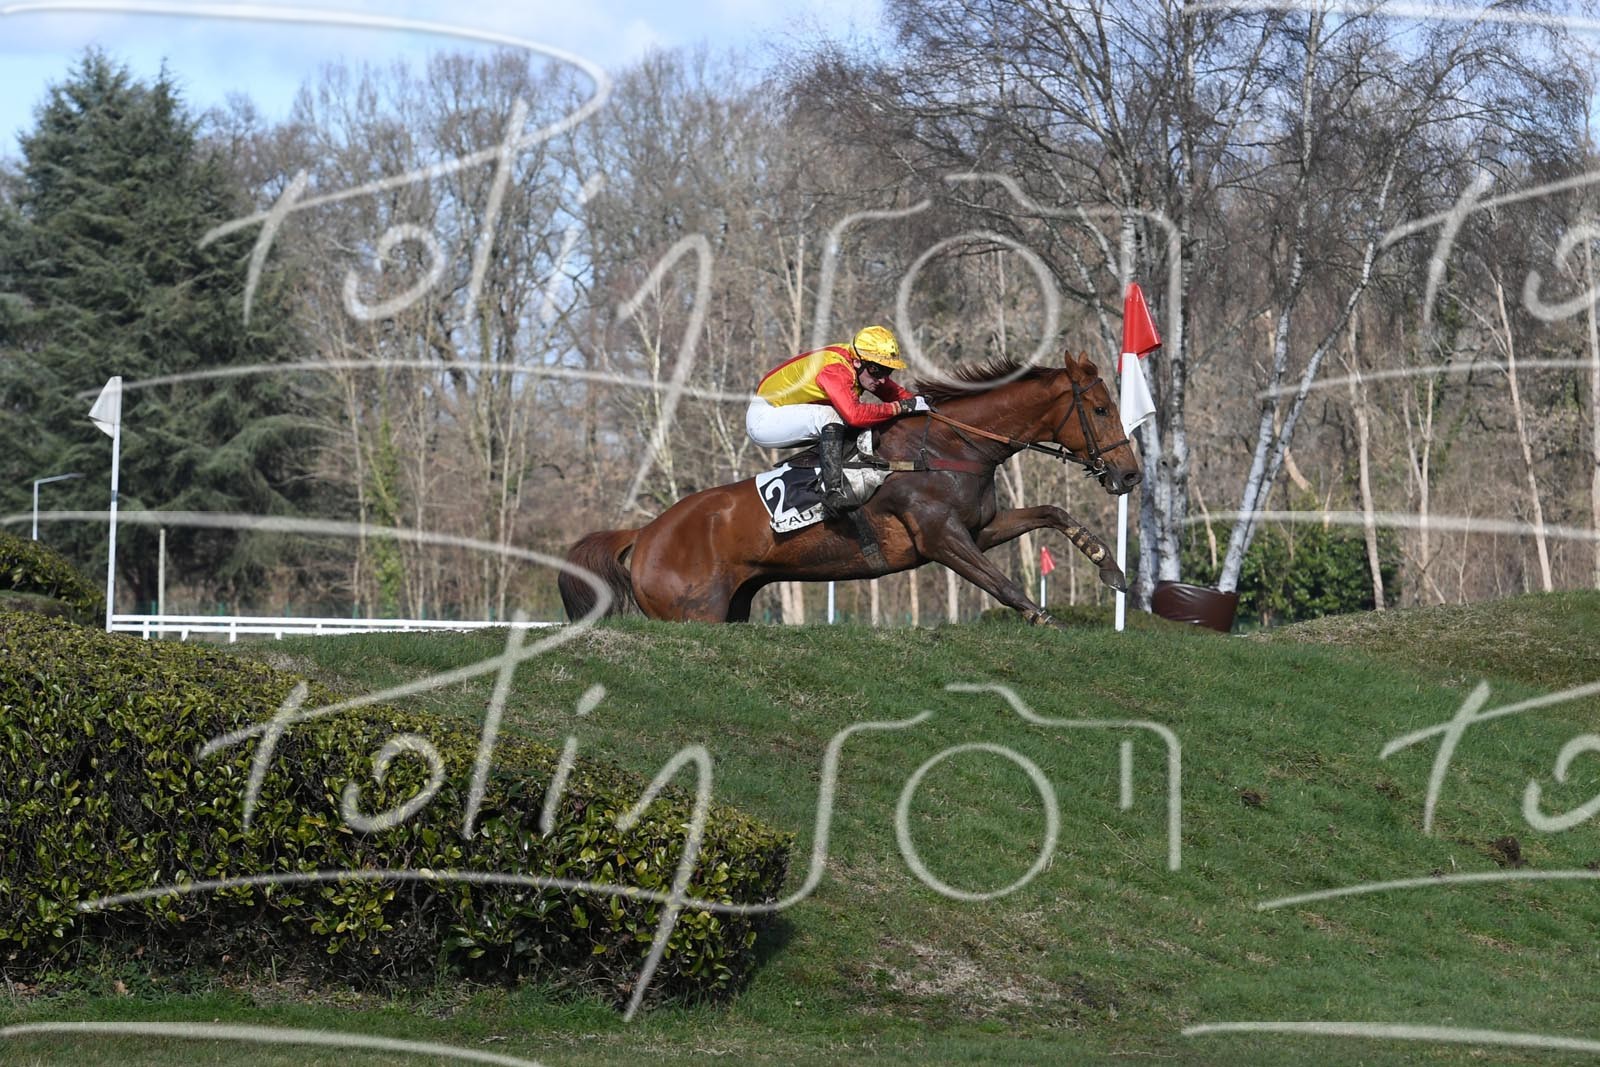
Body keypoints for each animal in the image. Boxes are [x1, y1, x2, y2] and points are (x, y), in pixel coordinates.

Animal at [558, 349, 1142, 627]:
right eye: (1100, 409)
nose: (1131, 474)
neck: (947, 446)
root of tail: (644, 535)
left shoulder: (979, 526)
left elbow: (1053, 512)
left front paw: (1110, 568)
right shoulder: (940, 537)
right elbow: (1000, 583)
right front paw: (1043, 619)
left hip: (735, 606)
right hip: (693, 613)